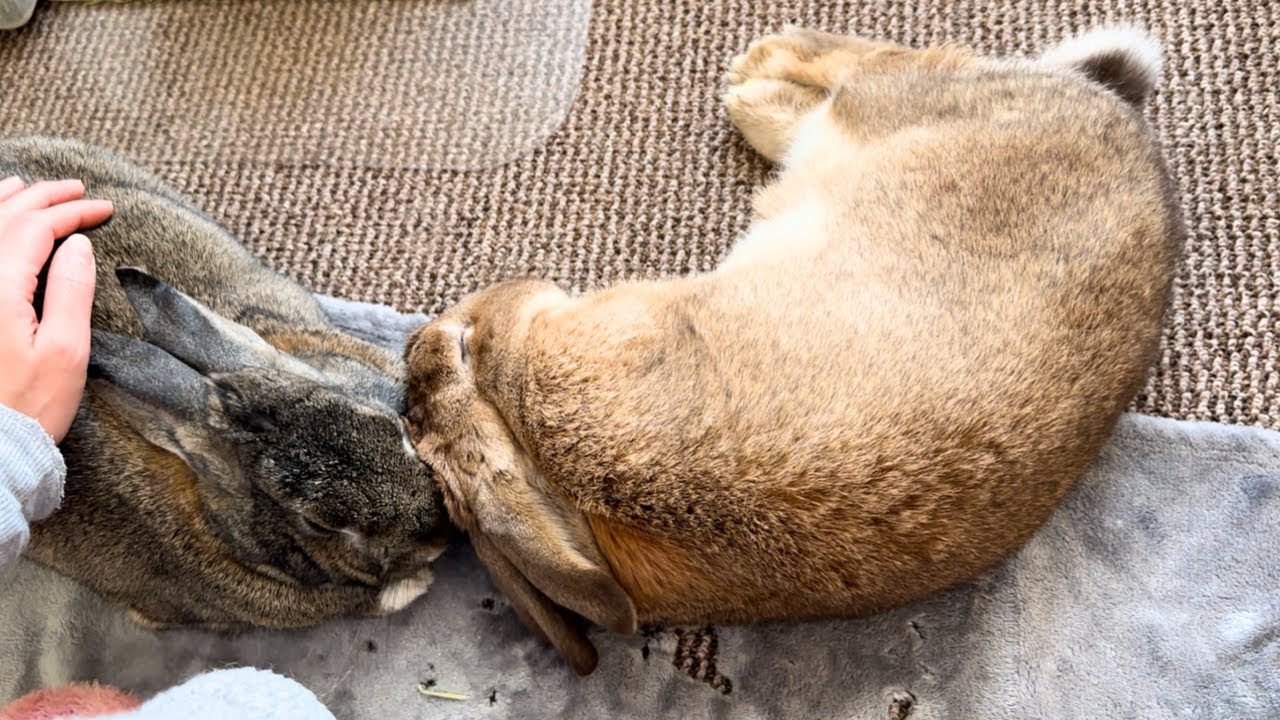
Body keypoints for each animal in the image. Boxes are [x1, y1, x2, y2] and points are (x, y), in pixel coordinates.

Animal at [402, 26, 1185, 675]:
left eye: (460, 347)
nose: (412, 353)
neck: (520, 431)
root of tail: (1128, 132)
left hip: (897, 101)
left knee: (884, 63)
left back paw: (756, 69)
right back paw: (757, 85)